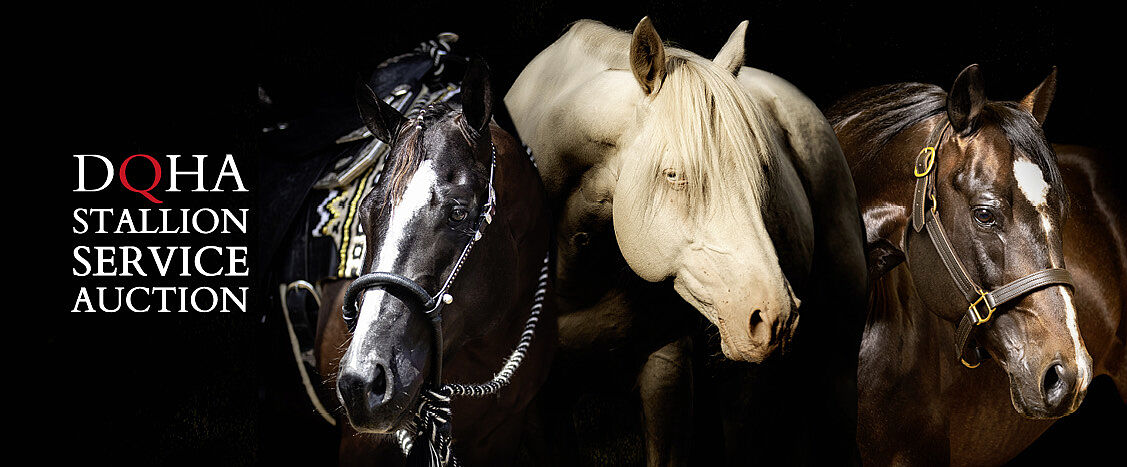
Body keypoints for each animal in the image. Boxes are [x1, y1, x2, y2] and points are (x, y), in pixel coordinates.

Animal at [505, 18, 868, 464]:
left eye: (762, 172)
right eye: (674, 175)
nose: (775, 316)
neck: (574, 277)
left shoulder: (667, 369)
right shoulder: (537, 406)